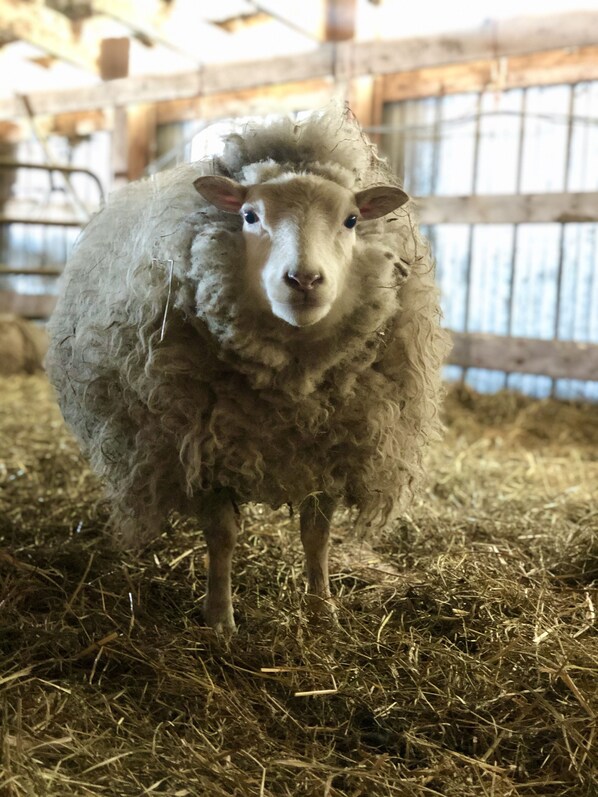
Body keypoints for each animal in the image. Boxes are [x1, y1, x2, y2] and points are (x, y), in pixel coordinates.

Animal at [46, 106, 449, 632]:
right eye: (249, 216)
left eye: (351, 220)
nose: (304, 280)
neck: (293, 382)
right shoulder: (202, 447)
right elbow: (222, 537)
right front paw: (220, 619)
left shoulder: (333, 447)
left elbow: (317, 535)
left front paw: (321, 608)